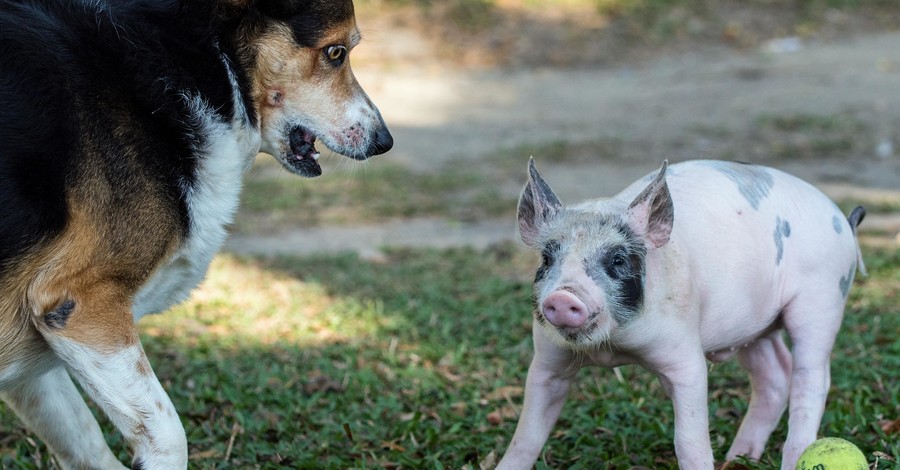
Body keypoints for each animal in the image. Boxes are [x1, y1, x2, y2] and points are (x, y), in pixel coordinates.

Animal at [1, 0, 392, 464]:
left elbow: (85, 441)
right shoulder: (79, 304)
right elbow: (168, 434)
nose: (384, 142)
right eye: (336, 53)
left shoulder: (37, 356)